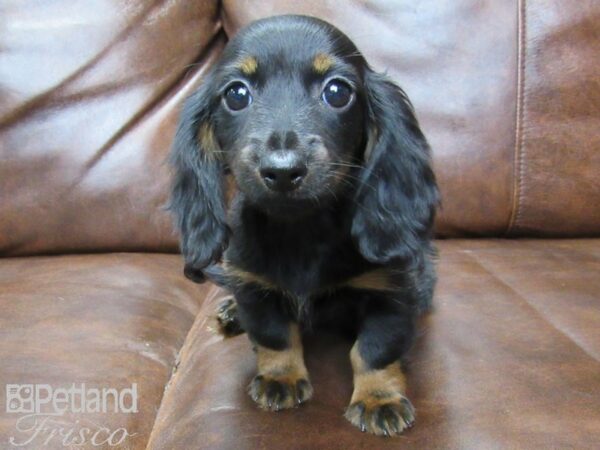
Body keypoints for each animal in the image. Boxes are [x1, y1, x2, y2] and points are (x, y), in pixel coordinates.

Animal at [171, 14, 438, 436]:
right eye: (236, 94)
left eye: (337, 91)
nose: (282, 170)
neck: (302, 230)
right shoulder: (254, 284)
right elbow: (274, 335)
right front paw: (281, 376)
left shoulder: (391, 291)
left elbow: (375, 349)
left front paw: (378, 398)